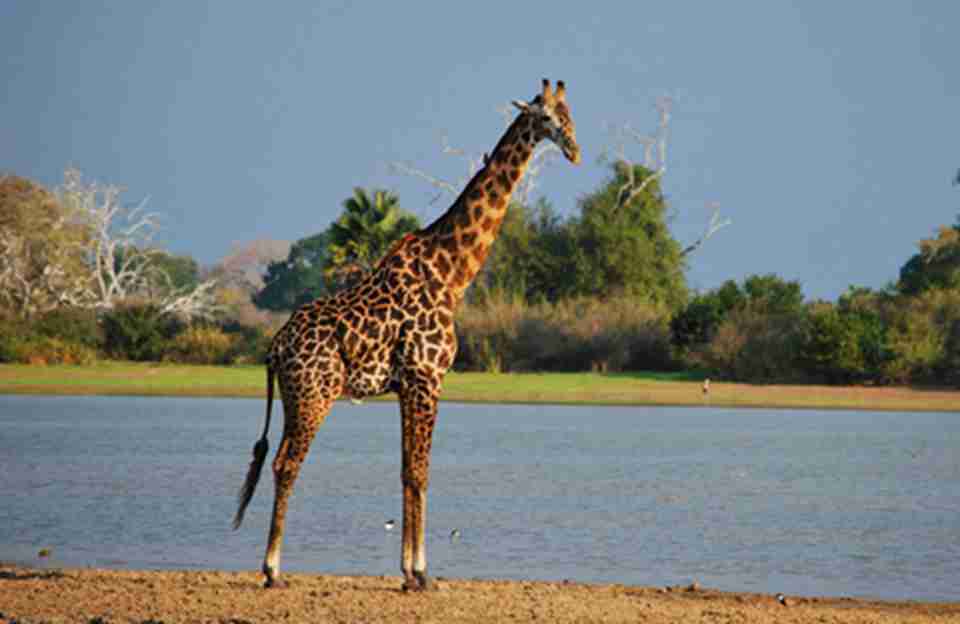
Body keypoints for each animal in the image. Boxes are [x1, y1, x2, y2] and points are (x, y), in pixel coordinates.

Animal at [236, 78, 580, 588]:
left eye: (571, 115)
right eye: (549, 118)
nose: (575, 150)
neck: (452, 274)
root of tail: (275, 347)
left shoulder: (407, 385)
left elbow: (404, 472)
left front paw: (407, 571)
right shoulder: (426, 378)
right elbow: (421, 473)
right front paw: (421, 573)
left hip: (295, 397)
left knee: (278, 461)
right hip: (316, 395)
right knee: (287, 464)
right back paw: (273, 570)